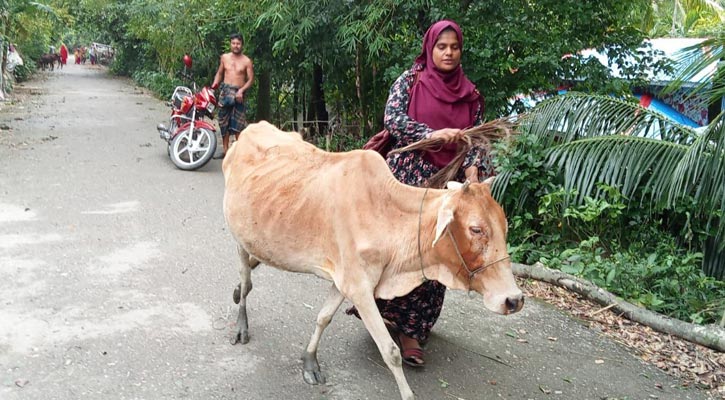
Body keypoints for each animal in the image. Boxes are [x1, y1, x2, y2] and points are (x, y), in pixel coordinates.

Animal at [219, 121, 520, 400]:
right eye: (476, 229)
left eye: (504, 227)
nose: (514, 300)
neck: (386, 217)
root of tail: (250, 129)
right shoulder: (360, 288)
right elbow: (390, 351)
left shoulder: (344, 281)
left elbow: (323, 317)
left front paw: (309, 362)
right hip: (239, 237)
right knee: (246, 278)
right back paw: (241, 323)